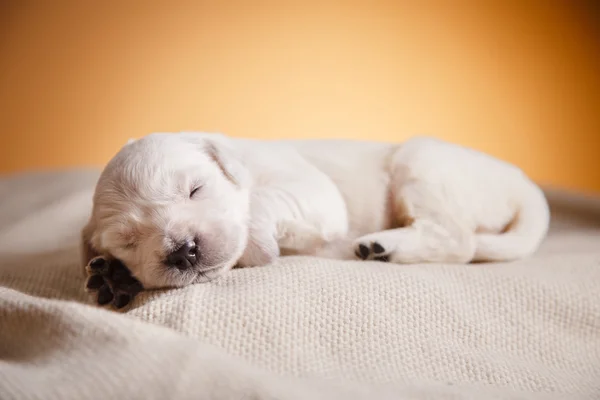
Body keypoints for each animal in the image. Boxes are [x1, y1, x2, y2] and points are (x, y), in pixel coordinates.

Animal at [79, 133, 548, 308]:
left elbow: (262, 204)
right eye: (127, 241)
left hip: (422, 162)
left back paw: (383, 245)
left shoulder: (312, 190)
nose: (183, 250)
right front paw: (114, 277)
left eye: (195, 189)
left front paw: (257, 244)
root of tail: (525, 185)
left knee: (459, 239)